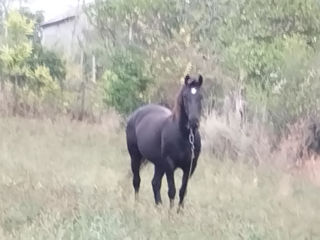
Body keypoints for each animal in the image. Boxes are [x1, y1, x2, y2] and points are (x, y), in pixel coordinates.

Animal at [125, 74, 202, 209]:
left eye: (201, 96)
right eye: (185, 96)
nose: (193, 122)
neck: (184, 137)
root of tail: (135, 115)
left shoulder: (189, 167)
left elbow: (183, 191)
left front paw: (179, 211)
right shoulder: (169, 165)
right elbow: (172, 191)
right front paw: (170, 213)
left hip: (159, 164)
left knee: (155, 183)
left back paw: (158, 207)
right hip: (135, 157)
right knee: (136, 181)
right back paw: (137, 205)